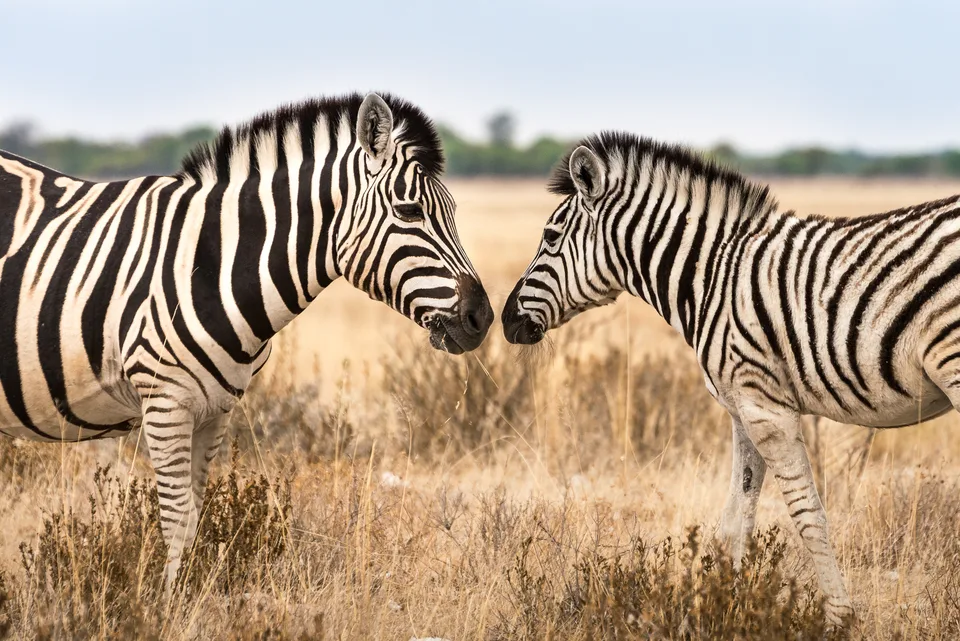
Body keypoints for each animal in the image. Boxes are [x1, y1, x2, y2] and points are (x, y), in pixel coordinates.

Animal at [0, 92, 493, 587]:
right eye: (410, 211)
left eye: (452, 211)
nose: (482, 318)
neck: (209, 263)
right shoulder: (164, 402)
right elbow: (176, 519)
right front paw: (167, 601)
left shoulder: (215, 411)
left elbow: (194, 516)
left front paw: (188, 595)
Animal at [501, 131, 960, 625]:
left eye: (550, 237)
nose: (506, 322)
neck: (711, 278)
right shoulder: (742, 408)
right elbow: (736, 518)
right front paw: (721, 608)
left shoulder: (766, 409)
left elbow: (808, 515)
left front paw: (839, 618)